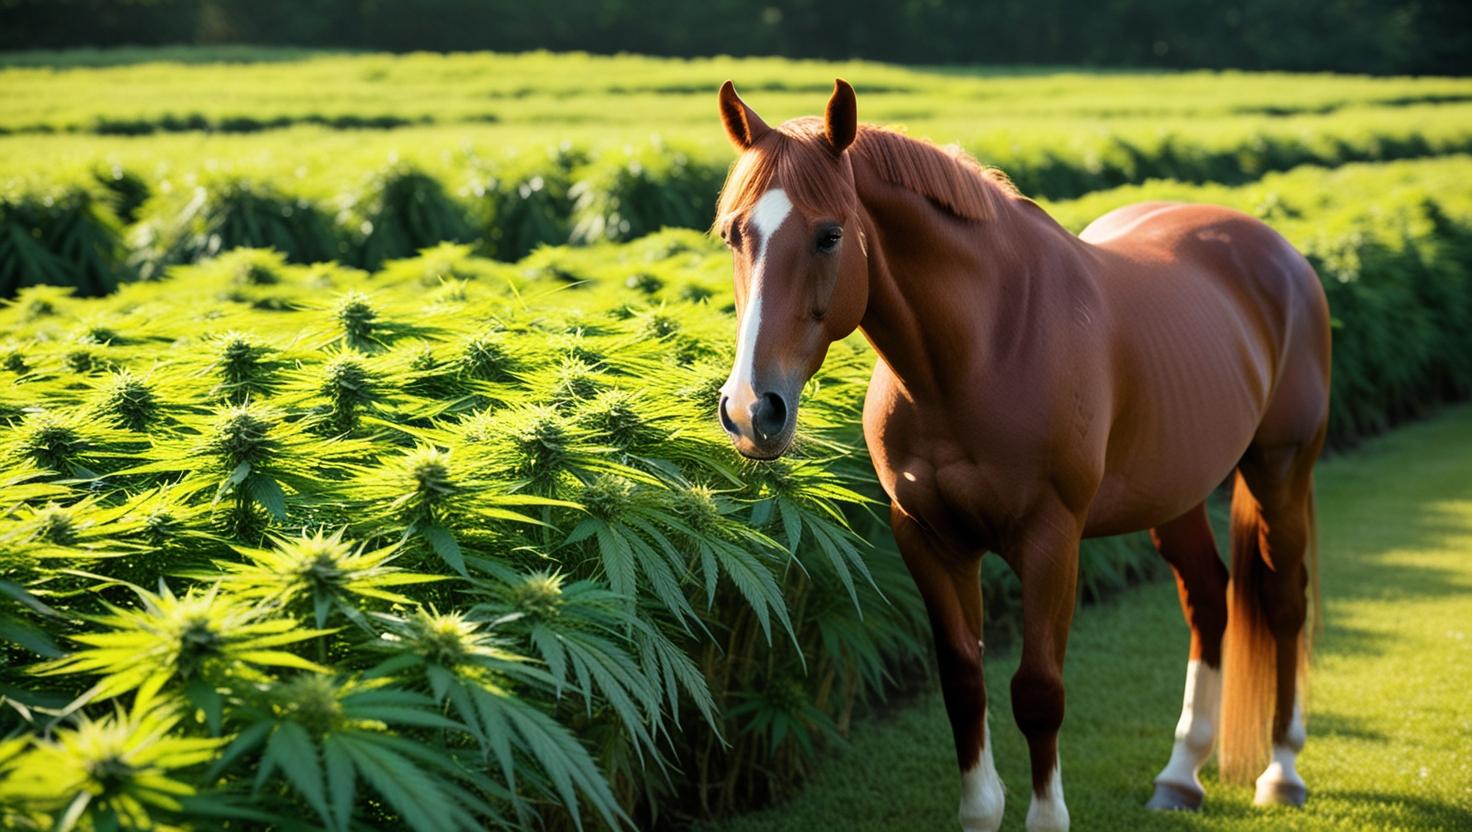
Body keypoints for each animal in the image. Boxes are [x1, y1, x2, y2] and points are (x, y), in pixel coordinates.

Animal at [712, 79, 1336, 830]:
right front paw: (983, 807)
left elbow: (1038, 691)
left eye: (829, 234)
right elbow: (963, 681)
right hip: (1176, 492)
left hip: (1280, 470)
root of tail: (1280, 254)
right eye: (733, 233)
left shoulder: (1051, 540)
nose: (753, 409)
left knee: (1283, 599)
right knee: (1209, 597)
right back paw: (1181, 775)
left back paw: (1282, 771)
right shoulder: (928, 537)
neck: (982, 350)